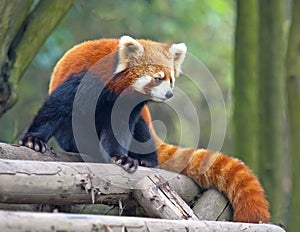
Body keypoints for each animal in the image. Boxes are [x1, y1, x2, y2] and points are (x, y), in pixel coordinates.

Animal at [19, 35, 270, 223]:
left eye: (171, 79)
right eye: (157, 78)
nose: (169, 94)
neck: (115, 89)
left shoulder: (128, 107)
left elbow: (120, 130)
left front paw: (120, 157)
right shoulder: (83, 80)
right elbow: (55, 108)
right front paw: (34, 140)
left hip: (143, 121)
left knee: (141, 131)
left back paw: (146, 159)